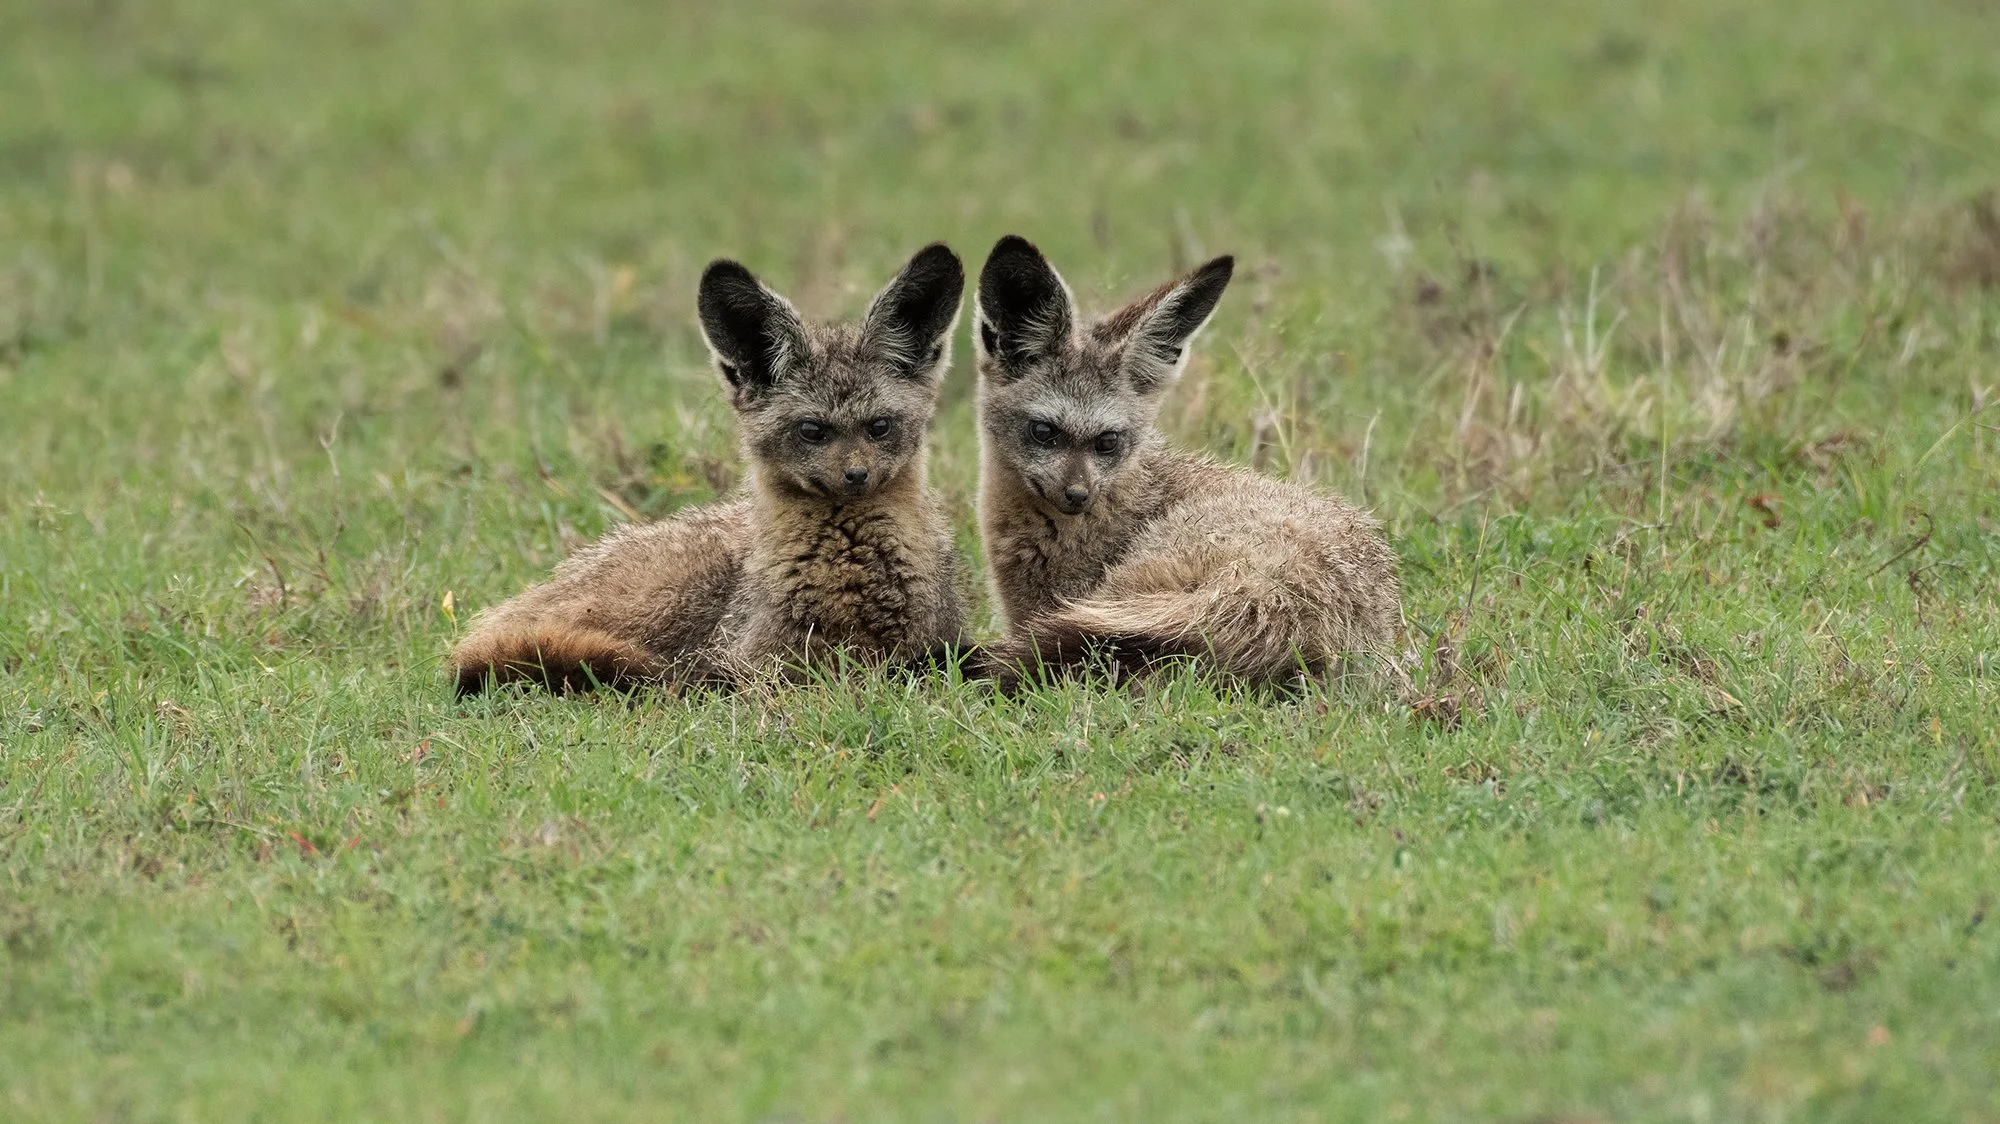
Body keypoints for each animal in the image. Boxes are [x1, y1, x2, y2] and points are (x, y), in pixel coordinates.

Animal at [449, 243, 970, 695]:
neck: (851, 564)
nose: (856, 476)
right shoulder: (756, 659)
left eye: (879, 426)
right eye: (812, 431)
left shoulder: (931, 643)